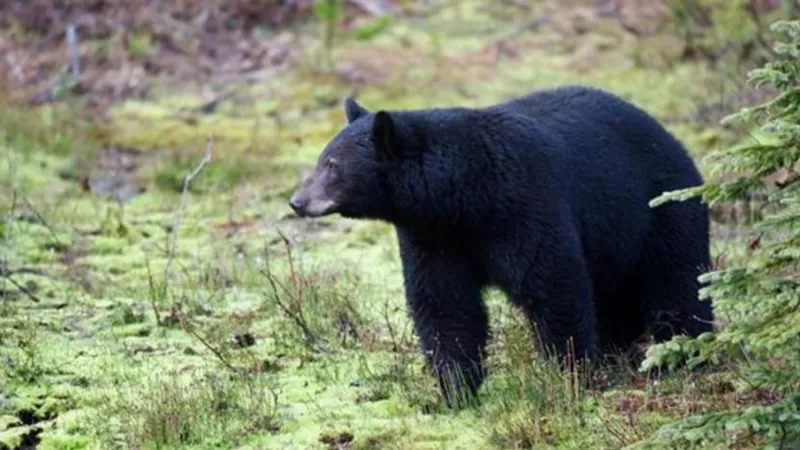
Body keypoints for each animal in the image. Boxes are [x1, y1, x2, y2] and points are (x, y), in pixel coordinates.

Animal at [288, 85, 714, 408]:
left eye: (331, 165)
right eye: (322, 159)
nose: (297, 201)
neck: (463, 195)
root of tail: (672, 137)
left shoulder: (524, 204)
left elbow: (552, 285)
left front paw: (570, 375)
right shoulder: (432, 235)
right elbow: (444, 304)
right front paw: (455, 391)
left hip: (660, 208)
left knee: (676, 282)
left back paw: (682, 352)